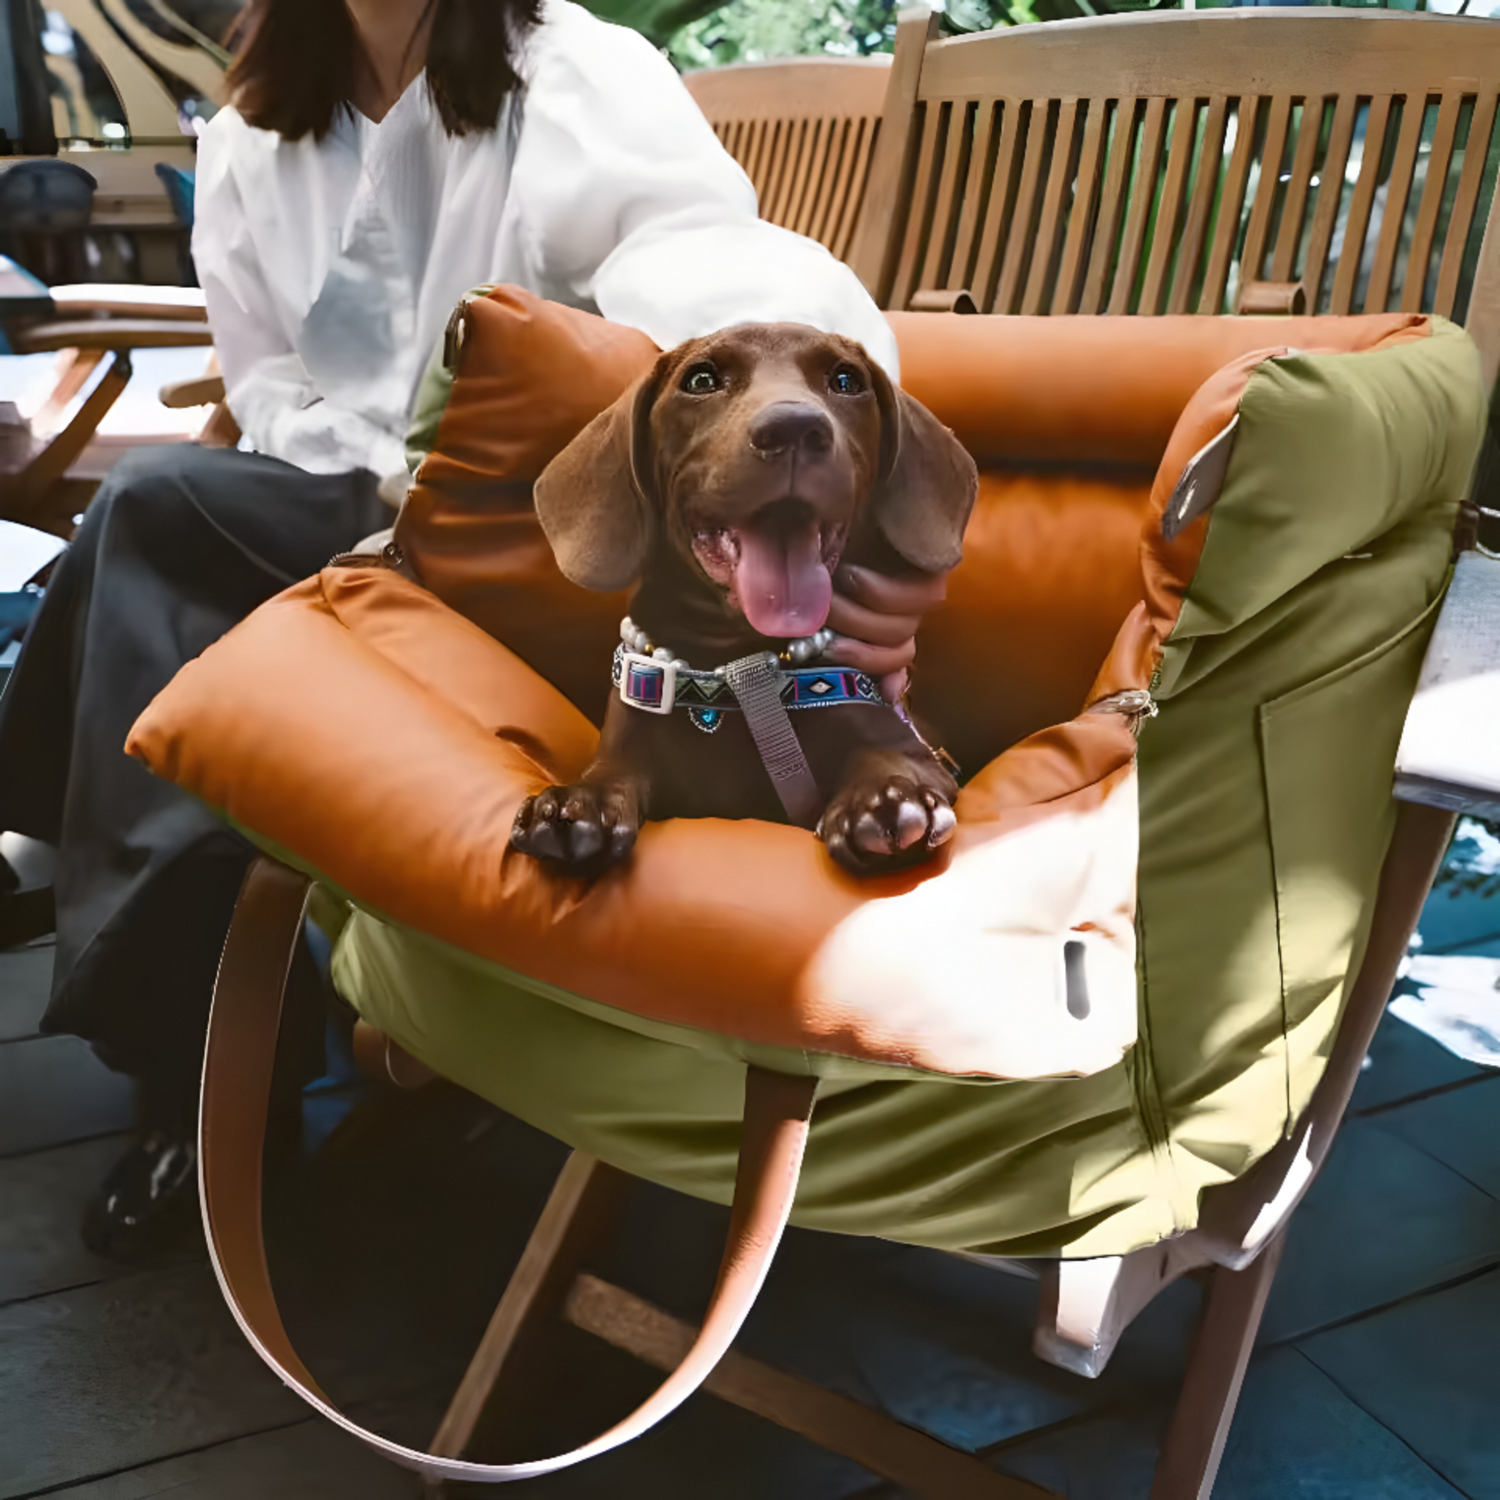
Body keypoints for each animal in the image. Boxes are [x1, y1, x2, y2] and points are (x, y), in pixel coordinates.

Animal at [510, 322, 978, 876]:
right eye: (702, 379)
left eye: (846, 380)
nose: (794, 428)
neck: (736, 674)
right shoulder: (628, 748)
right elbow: (610, 775)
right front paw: (580, 803)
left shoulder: (908, 747)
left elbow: (888, 759)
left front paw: (886, 798)